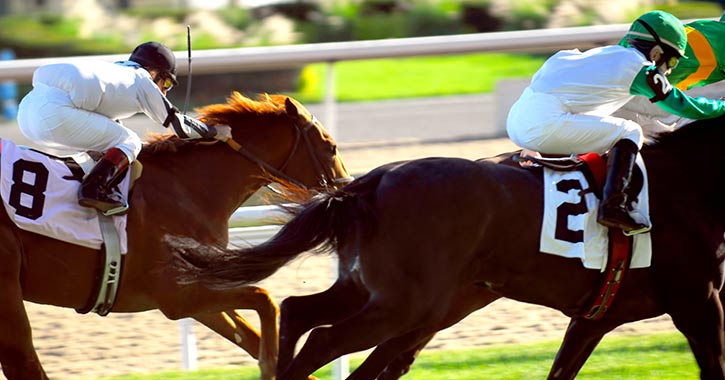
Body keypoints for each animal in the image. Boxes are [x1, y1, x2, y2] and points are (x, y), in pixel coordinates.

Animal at [0, 92, 350, 380]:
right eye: (331, 147)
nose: (346, 189)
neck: (189, 186)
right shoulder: (176, 295)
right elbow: (264, 299)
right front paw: (269, 366)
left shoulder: (196, 291)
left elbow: (248, 335)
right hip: (9, 298)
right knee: (23, 362)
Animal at [175, 114, 724, 378]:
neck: (687, 181)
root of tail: (372, 182)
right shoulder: (698, 301)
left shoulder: (595, 316)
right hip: (406, 303)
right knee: (327, 339)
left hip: (377, 291)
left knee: (296, 311)